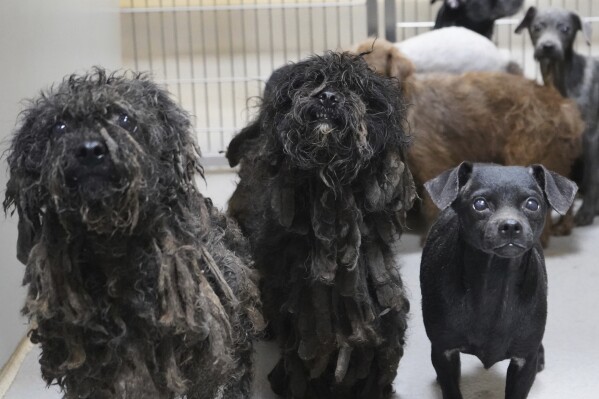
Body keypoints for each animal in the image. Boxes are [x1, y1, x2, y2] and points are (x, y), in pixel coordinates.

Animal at [3, 69, 262, 399]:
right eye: (59, 126)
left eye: (124, 119)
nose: (90, 149)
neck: (111, 247)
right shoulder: (87, 371)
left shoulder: (204, 356)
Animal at [420, 162, 580, 399]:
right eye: (479, 204)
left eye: (532, 204)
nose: (511, 225)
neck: (496, 279)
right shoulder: (443, 352)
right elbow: (451, 387)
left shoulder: (524, 363)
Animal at [516, 6, 599, 227]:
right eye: (537, 27)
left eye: (565, 29)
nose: (548, 46)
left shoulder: (591, 137)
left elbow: (592, 176)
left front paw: (586, 212)